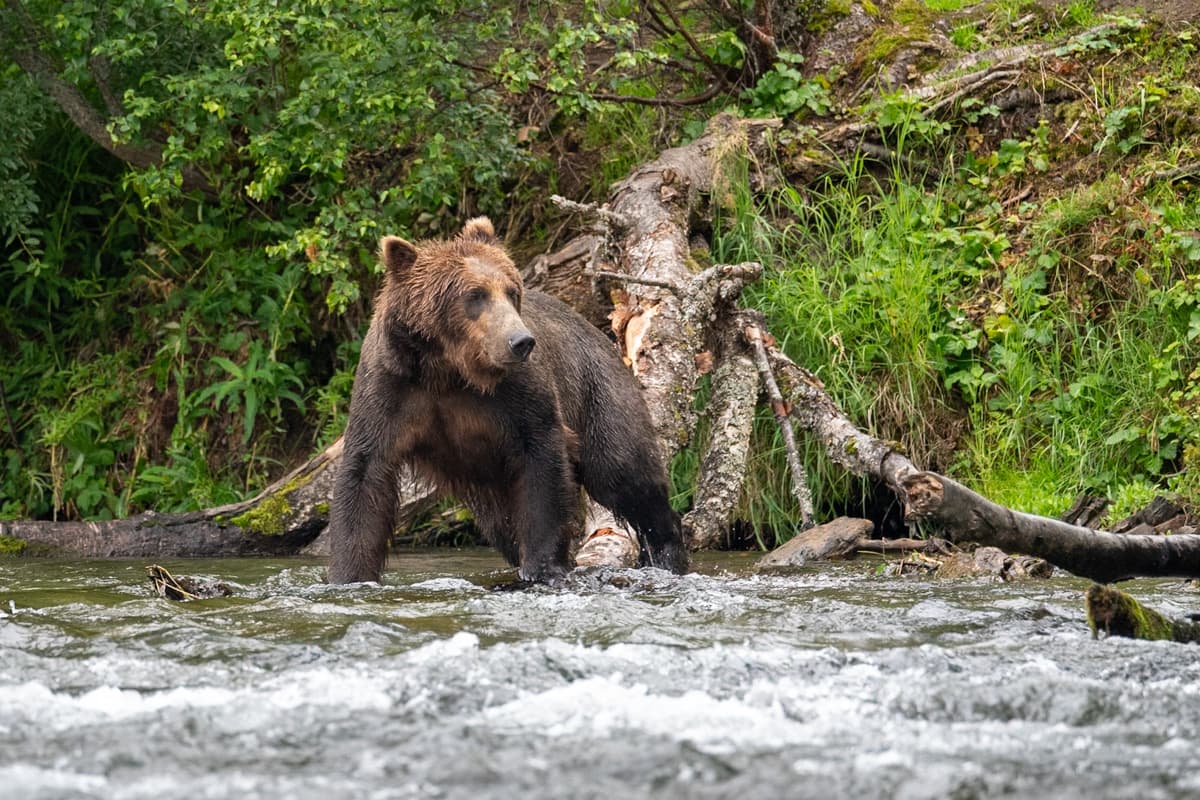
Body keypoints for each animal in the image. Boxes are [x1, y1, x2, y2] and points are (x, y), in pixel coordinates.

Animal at [325, 216, 689, 584]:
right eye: (475, 294)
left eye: (511, 291)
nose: (520, 341)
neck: (449, 370)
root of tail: (597, 330)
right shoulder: (392, 388)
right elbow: (365, 473)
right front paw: (349, 573)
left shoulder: (519, 394)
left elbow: (542, 463)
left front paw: (542, 566)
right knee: (502, 524)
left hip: (598, 390)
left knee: (624, 471)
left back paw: (665, 553)